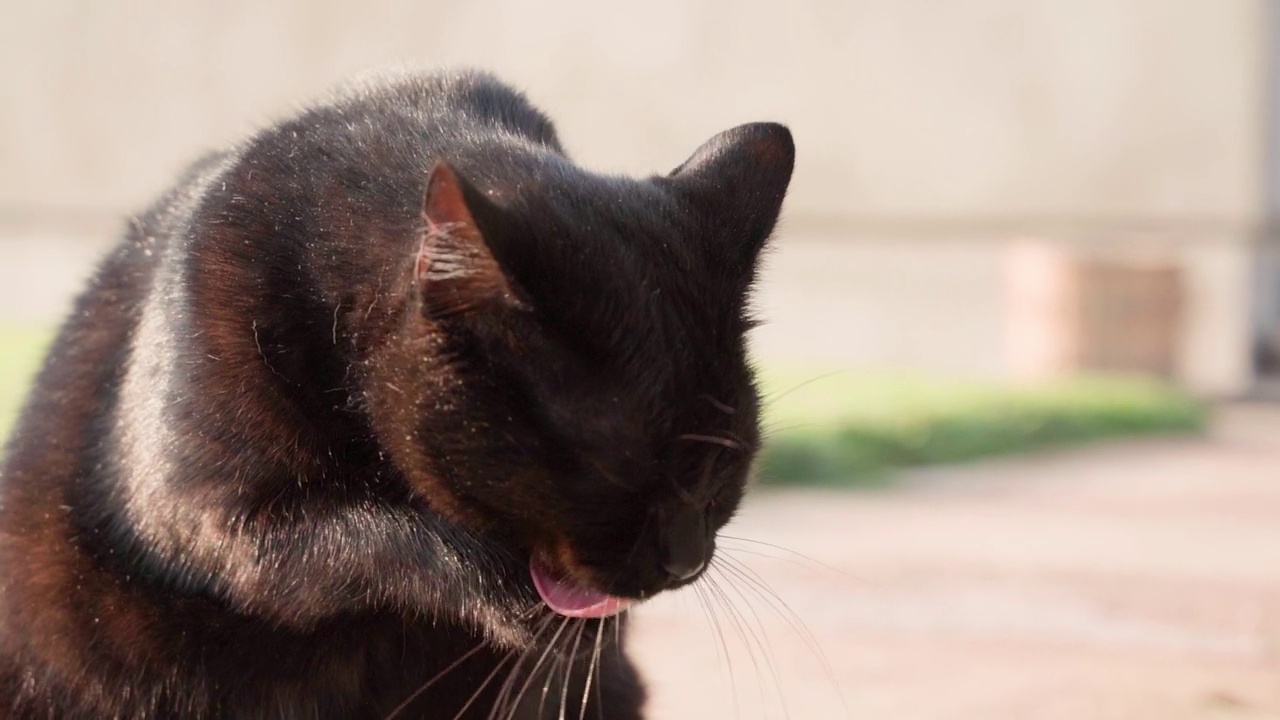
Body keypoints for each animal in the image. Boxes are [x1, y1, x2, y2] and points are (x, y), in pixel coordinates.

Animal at [0, 68, 793, 717]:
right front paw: (506, 597)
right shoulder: (210, 514)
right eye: (616, 472)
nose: (687, 559)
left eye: (727, 463)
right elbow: (358, 538)